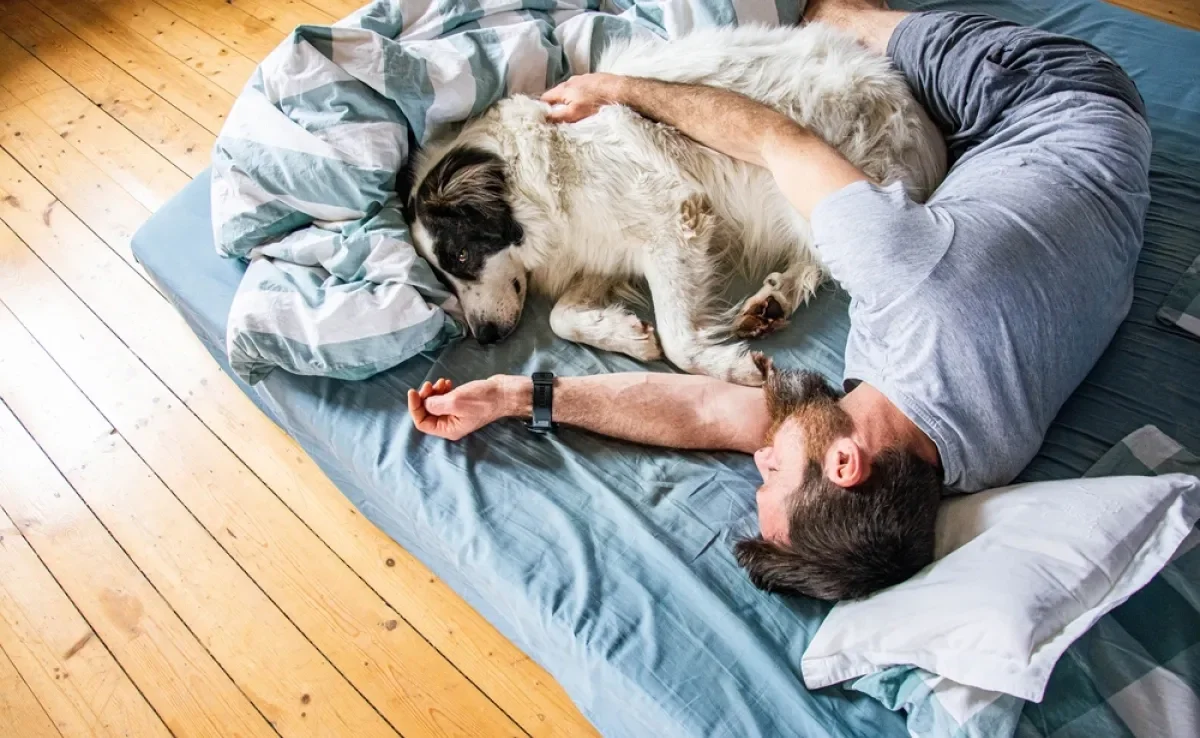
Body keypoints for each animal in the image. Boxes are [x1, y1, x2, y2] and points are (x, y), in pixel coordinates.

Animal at [412, 21, 945, 386]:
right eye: (443, 277)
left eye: (462, 255)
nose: (483, 338)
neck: (539, 177)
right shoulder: (602, 251)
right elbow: (562, 317)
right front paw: (624, 332)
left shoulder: (676, 223)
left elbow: (675, 339)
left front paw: (727, 368)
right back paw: (772, 301)